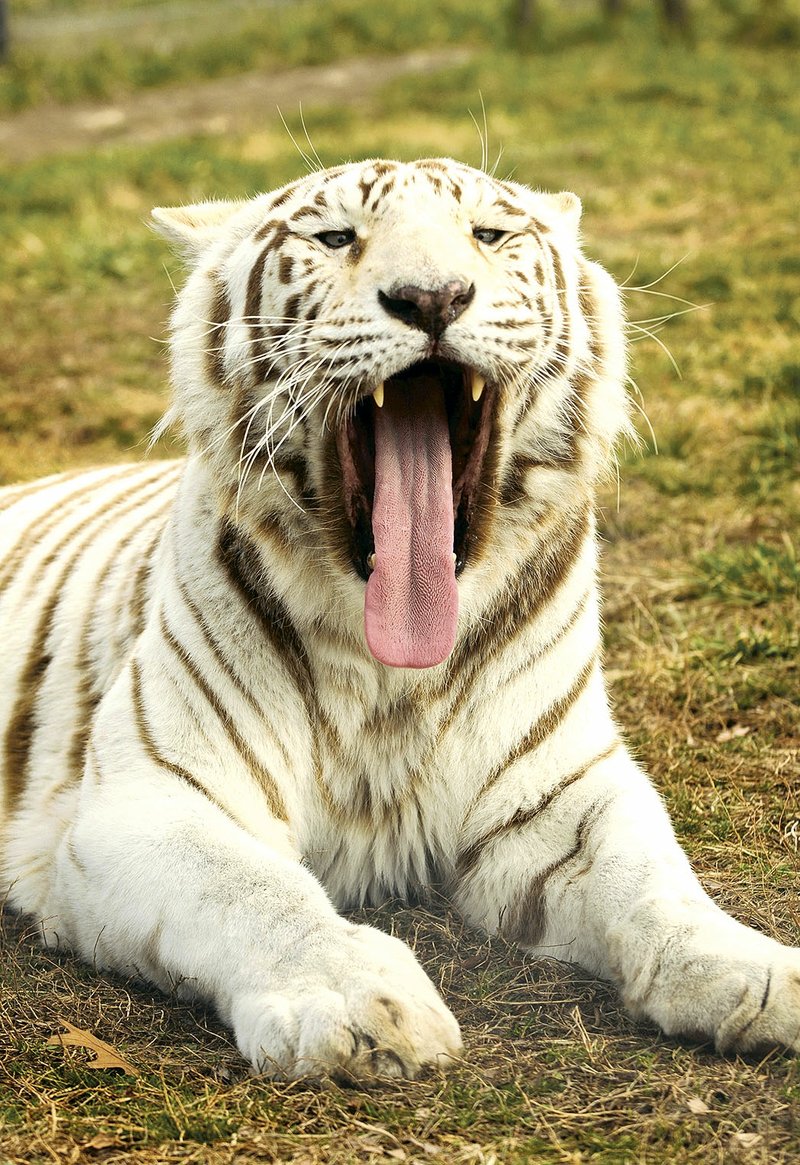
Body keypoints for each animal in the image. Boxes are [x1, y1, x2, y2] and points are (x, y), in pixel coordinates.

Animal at [1, 159, 800, 1076]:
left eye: (489, 234)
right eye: (336, 237)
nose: (432, 297)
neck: (391, 668)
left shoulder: (557, 793)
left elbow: (655, 882)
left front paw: (755, 971)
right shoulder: (150, 798)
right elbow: (253, 888)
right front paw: (357, 1002)